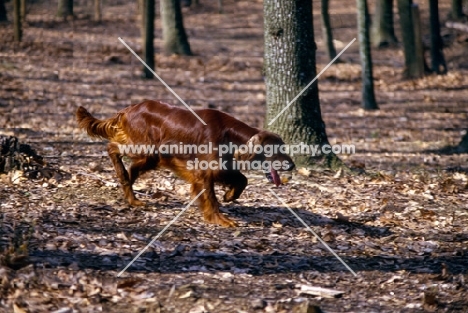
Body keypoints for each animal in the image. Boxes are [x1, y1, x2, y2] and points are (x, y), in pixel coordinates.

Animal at [78, 101, 294, 225]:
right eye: (276, 149)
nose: (292, 166)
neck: (229, 134)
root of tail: (130, 108)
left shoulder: (220, 166)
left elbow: (241, 180)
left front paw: (229, 195)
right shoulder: (204, 171)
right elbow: (211, 197)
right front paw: (220, 219)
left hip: (152, 156)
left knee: (133, 167)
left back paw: (130, 194)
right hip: (144, 148)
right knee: (112, 148)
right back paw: (124, 180)